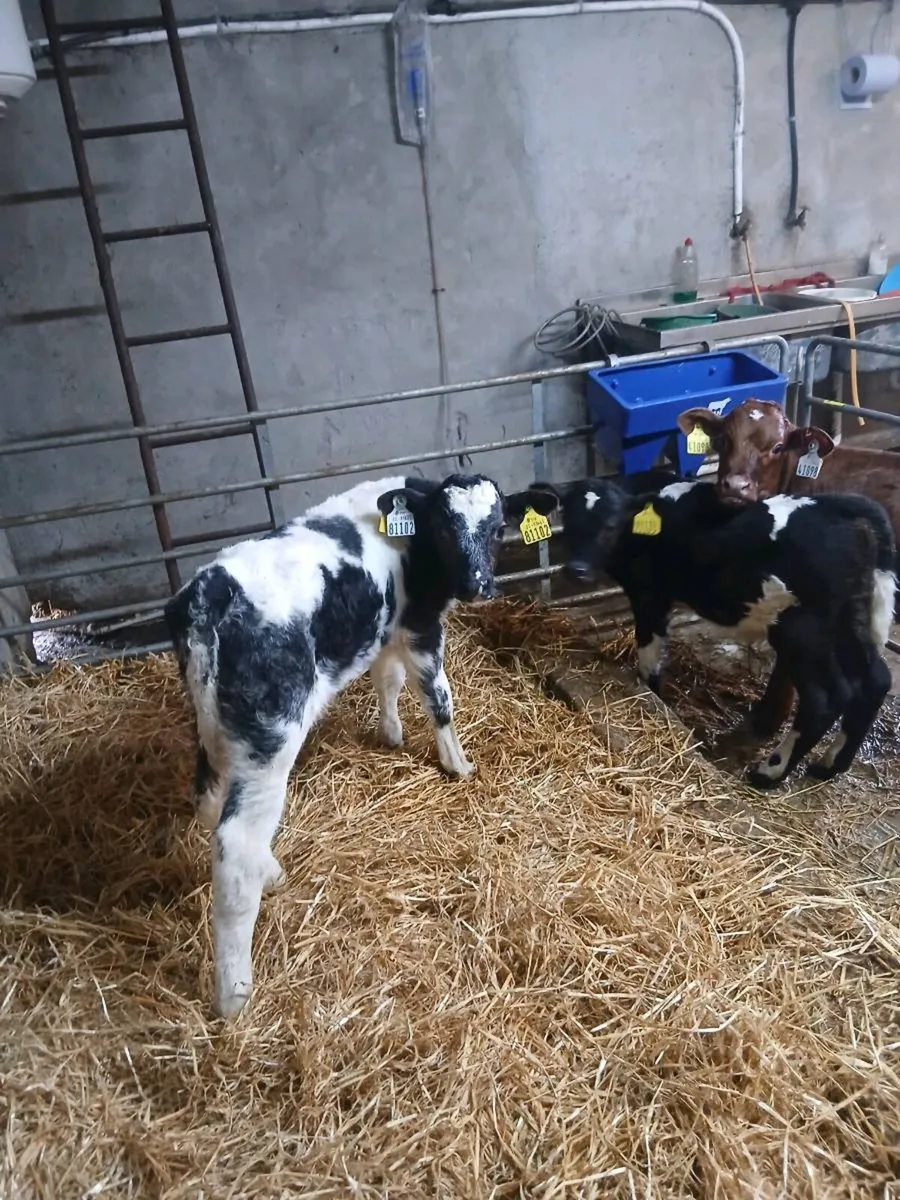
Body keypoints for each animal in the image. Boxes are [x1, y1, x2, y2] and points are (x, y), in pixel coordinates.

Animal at [164, 471, 548, 1018]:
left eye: (497, 529)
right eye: (443, 527)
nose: (476, 587)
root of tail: (211, 593)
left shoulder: (387, 628)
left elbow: (386, 679)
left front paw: (391, 733)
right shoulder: (421, 626)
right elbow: (437, 696)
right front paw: (457, 763)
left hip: (217, 724)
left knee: (209, 803)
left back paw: (269, 871)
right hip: (269, 738)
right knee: (235, 848)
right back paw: (234, 994)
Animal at [506, 477, 895, 790]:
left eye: (611, 524)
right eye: (569, 521)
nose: (577, 570)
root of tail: (841, 506)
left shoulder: (650, 595)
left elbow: (649, 658)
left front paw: (652, 697)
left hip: (802, 627)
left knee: (825, 698)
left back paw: (770, 771)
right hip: (848, 616)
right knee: (875, 679)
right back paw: (830, 765)